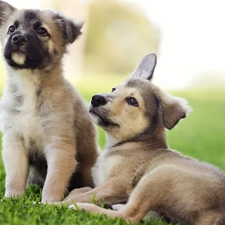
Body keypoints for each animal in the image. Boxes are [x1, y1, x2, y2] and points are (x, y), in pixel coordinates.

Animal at [0, 0, 98, 203]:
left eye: (41, 31)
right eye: (12, 28)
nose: (18, 38)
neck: (29, 82)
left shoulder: (59, 146)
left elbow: (54, 181)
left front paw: (49, 203)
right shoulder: (14, 143)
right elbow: (14, 177)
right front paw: (13, 198)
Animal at [59, 53, 225, 225]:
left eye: (132, 101)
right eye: (114, 89)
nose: (96, 98)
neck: (132, 143)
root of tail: (218, 214)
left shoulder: (117, 184)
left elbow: (81, 196)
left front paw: (56, 203)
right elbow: (81, 189)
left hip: (159, 175)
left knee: (129, 216)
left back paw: (84, 208)